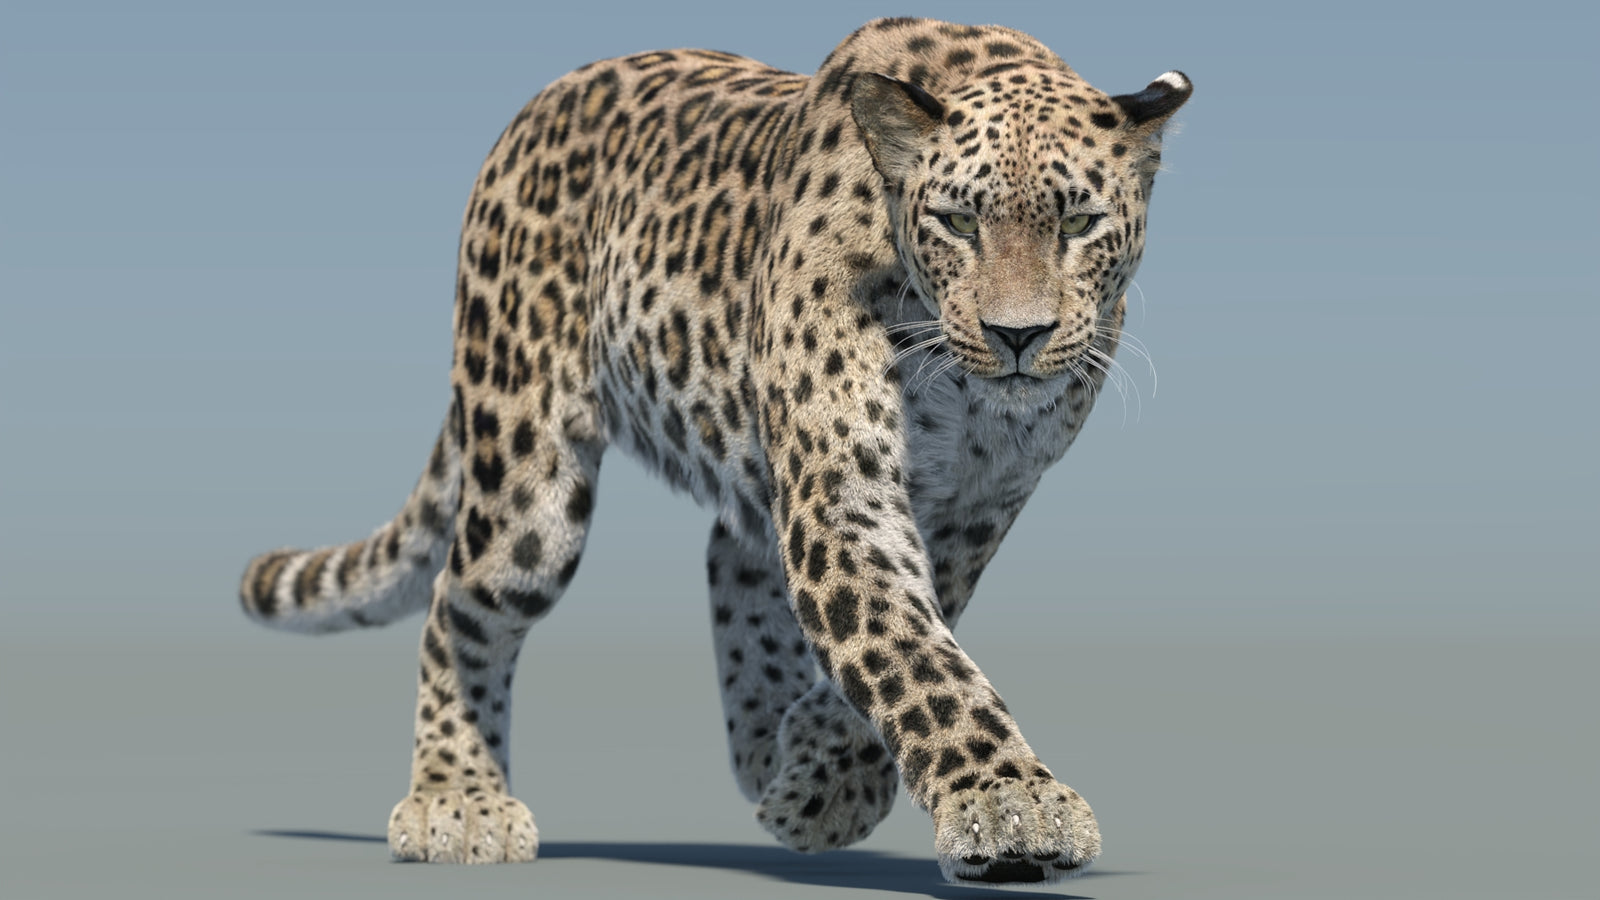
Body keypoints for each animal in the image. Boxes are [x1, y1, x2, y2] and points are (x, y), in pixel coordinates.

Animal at [239, 17, 1190, 885]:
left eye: (1080, 223)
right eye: (959, 223)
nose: (1017, 335)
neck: (967, 395)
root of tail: (533, 109)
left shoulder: (975, 508)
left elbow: (916, 630)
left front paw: (825, 774)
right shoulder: (842, 495)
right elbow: (910, 653)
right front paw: (1009, 804)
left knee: (730, 558)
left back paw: (769, 745)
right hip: (525, 481)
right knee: (458, 604)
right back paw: (456, 800)